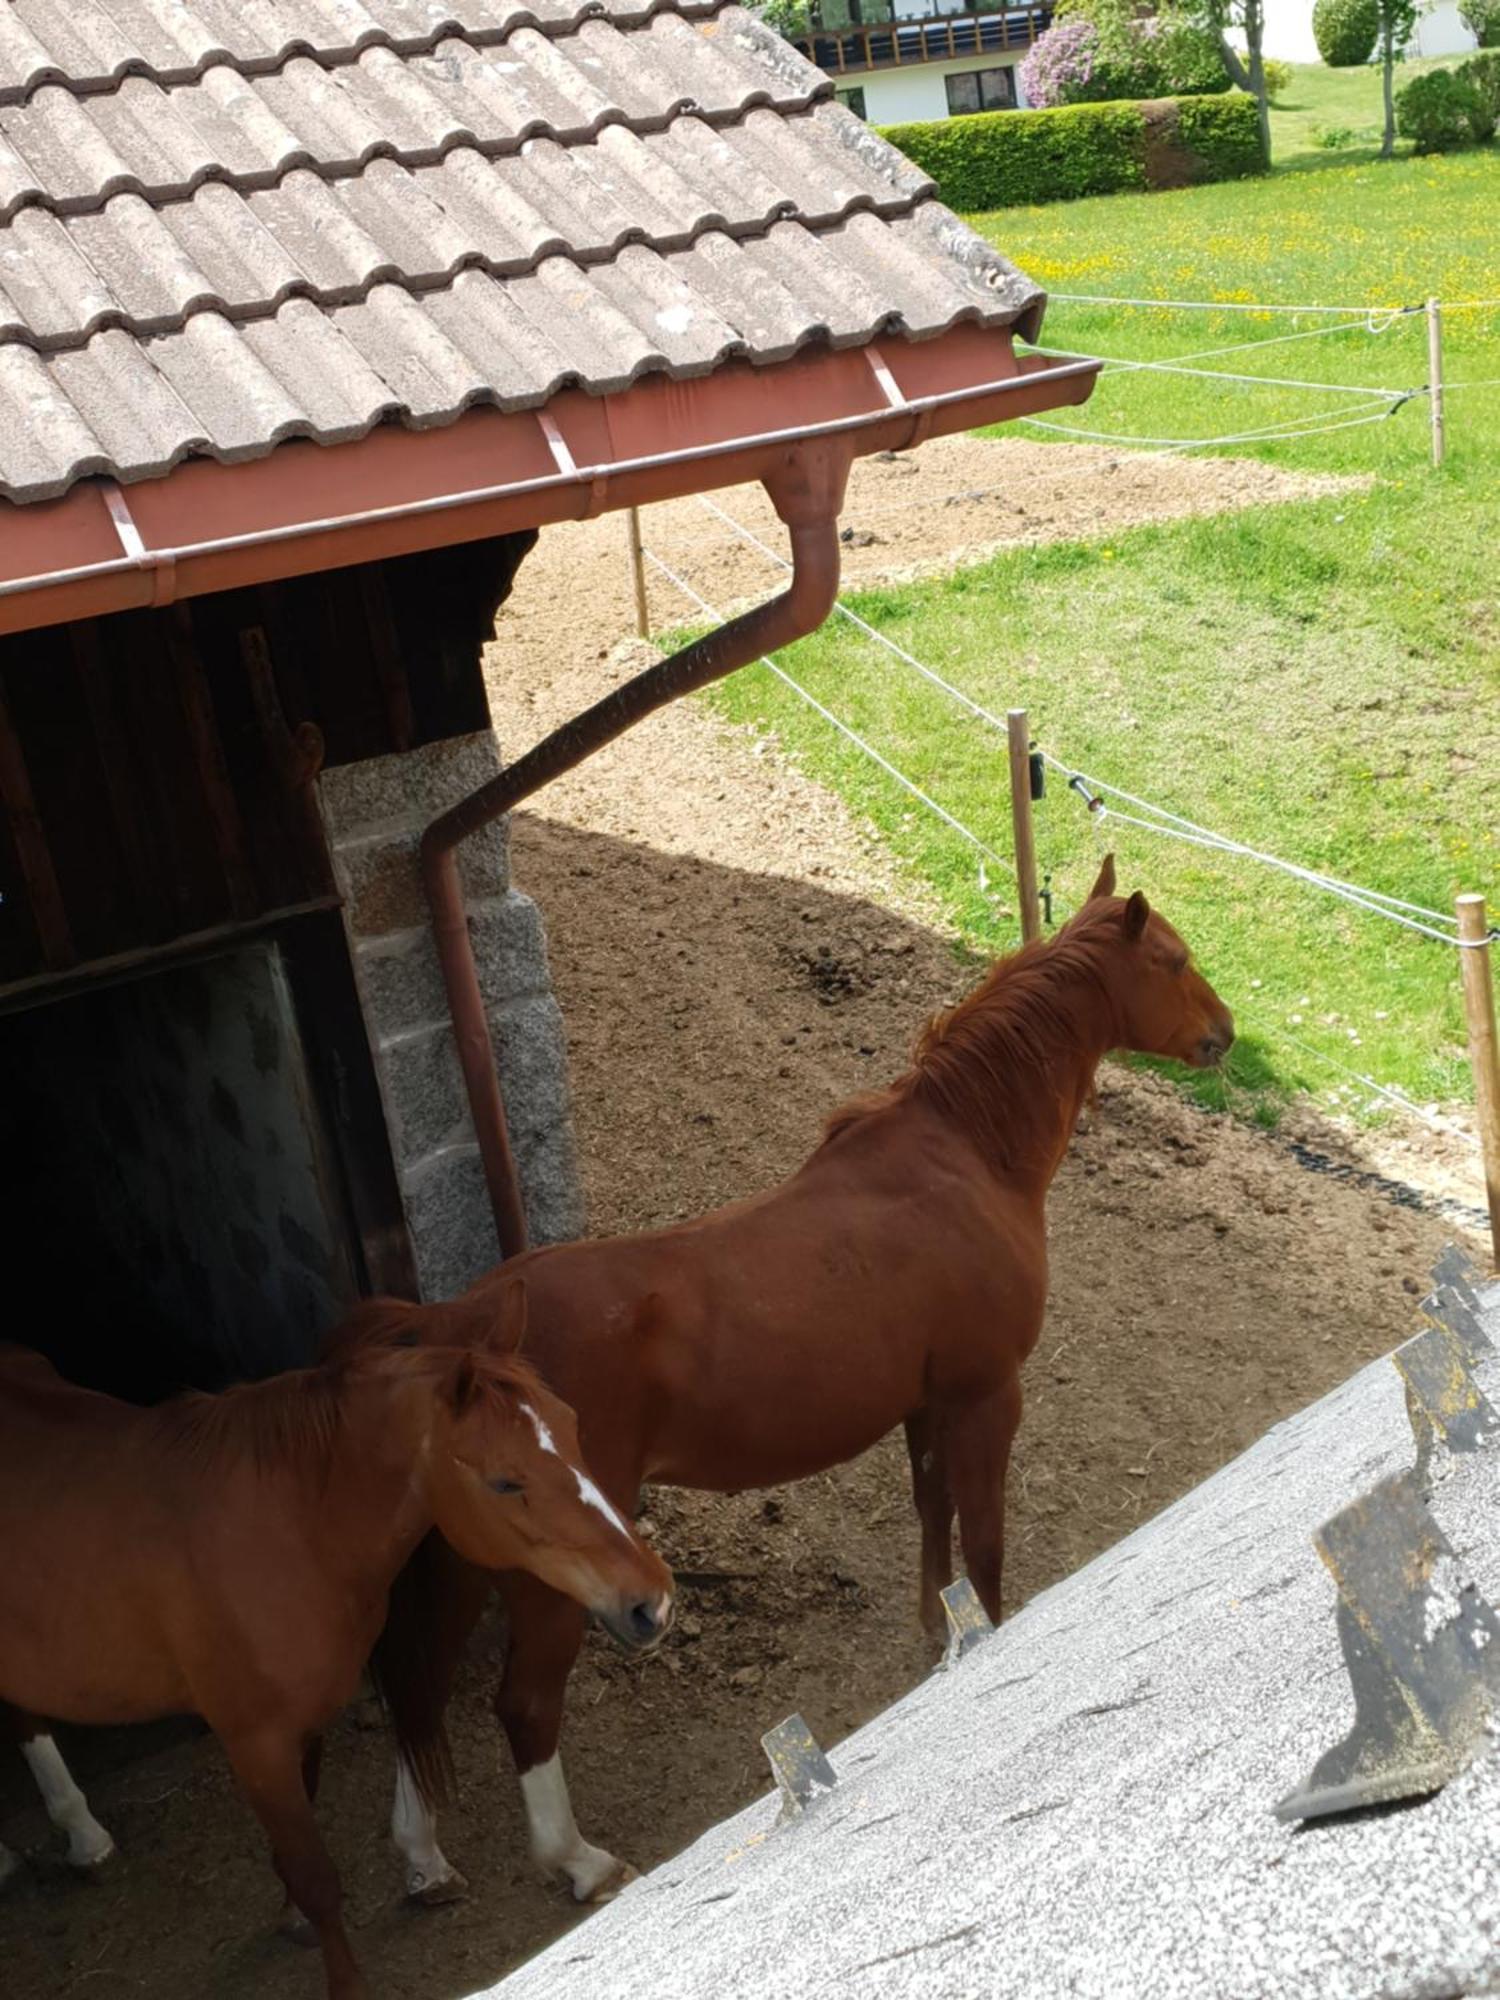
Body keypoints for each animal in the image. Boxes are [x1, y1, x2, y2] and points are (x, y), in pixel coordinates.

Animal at [0, 1288, 672, 1992]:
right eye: (505, 1482)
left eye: (571, 1426)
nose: (650, 1600)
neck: (285, 1530)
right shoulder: (255, 1741)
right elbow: (319, 1875)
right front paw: (344, 1979)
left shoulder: (305, 1719)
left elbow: (302, 1841)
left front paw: (293, 1915)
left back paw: (78, 1836)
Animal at [332, 860, 1232, 1904]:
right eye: (1174, 959)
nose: (1225, 1033)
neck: (963, 1158)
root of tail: (461, 1329)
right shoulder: (985, 1398)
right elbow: (985, 1541)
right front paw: (985, 1633)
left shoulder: (926, 1407)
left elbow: (933, 1518)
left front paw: (940, 1631)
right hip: (553, 1569)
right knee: (520, 1704)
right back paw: (578, 1860)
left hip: (465, 1562)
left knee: (423, 1690)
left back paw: (424, 1855)